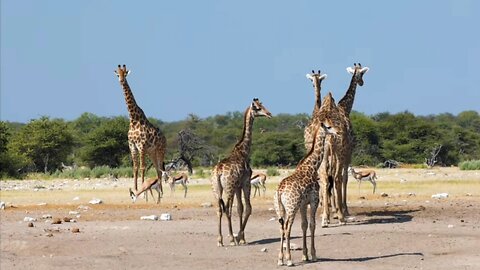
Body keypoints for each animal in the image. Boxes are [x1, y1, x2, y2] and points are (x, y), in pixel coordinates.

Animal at [114, 64, 167, 201]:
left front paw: (143, 193)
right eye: (117, 74)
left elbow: (142, 167)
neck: (133, 119)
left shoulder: (141, 146)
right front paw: (135, 190)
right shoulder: (132, 146)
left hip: (160, 150)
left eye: (125, 73)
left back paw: (161, 192)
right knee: (157, 169)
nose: (121, 81)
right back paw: (160, 191)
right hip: (151, 152)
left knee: (160, 168)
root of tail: (165, 138)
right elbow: (135, 167)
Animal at [212, 97, 272, 247]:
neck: (243, 151)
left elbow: (240, 208)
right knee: (227, 209)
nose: (269, 114)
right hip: (229, 187)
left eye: (262, 105)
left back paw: (220, 240)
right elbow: (248, 208)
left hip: (217, 188)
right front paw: (239, 237)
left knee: (219, 209)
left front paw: (243, 238)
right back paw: (231, 239)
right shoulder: (245, 182)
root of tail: (218, 172)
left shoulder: (238, 186)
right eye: (257, 108)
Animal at [274, 93, 342, 266]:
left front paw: (305, 255)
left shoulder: (304, 203)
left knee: (281, 227)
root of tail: (279, 192)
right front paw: (314, 255)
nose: (338, 132)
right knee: (287, 228)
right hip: (291, 207)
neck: (311, 165)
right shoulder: (314, 200)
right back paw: (289, 260)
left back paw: (280, 259)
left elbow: (304, 225)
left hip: (280, 208)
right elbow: (312, 225)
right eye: (329, 127)